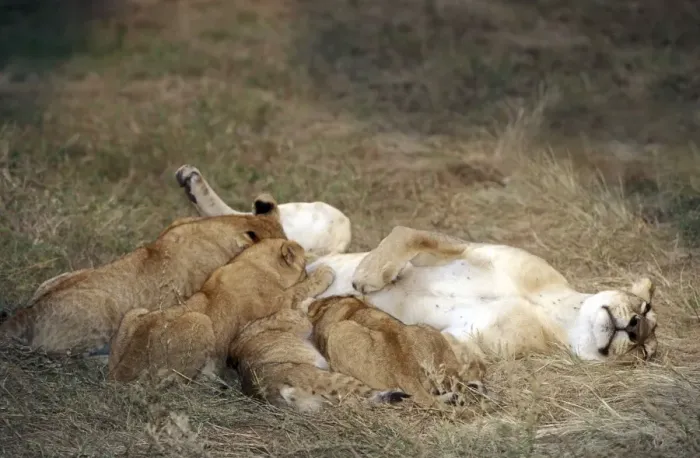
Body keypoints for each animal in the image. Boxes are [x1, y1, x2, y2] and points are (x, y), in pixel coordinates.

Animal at [107, 238, 335, 383]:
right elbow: (300, 290)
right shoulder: (281, 301)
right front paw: (324, 273)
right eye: (304, 269)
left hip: (135, 313)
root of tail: (121, 373)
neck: (253, 263)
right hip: (200, 321)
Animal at [177, 166, 659, 364]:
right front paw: (369, 276)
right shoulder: (467, 247)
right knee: (259, 221)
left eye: (646, 353)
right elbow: (407, 233)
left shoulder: (466, 341)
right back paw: (197, 186)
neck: (552, 310)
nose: (636, 329)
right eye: (647, 308)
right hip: (333, 220)